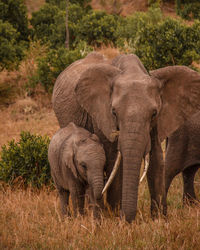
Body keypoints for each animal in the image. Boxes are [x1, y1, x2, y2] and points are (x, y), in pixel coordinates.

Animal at [52, 51, 200, 222]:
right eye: (114, 112)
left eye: (154, 113)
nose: (125, 217)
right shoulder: (101, 115)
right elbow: (112, 159)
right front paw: (115, 216)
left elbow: (156, 160)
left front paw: (158, 219)